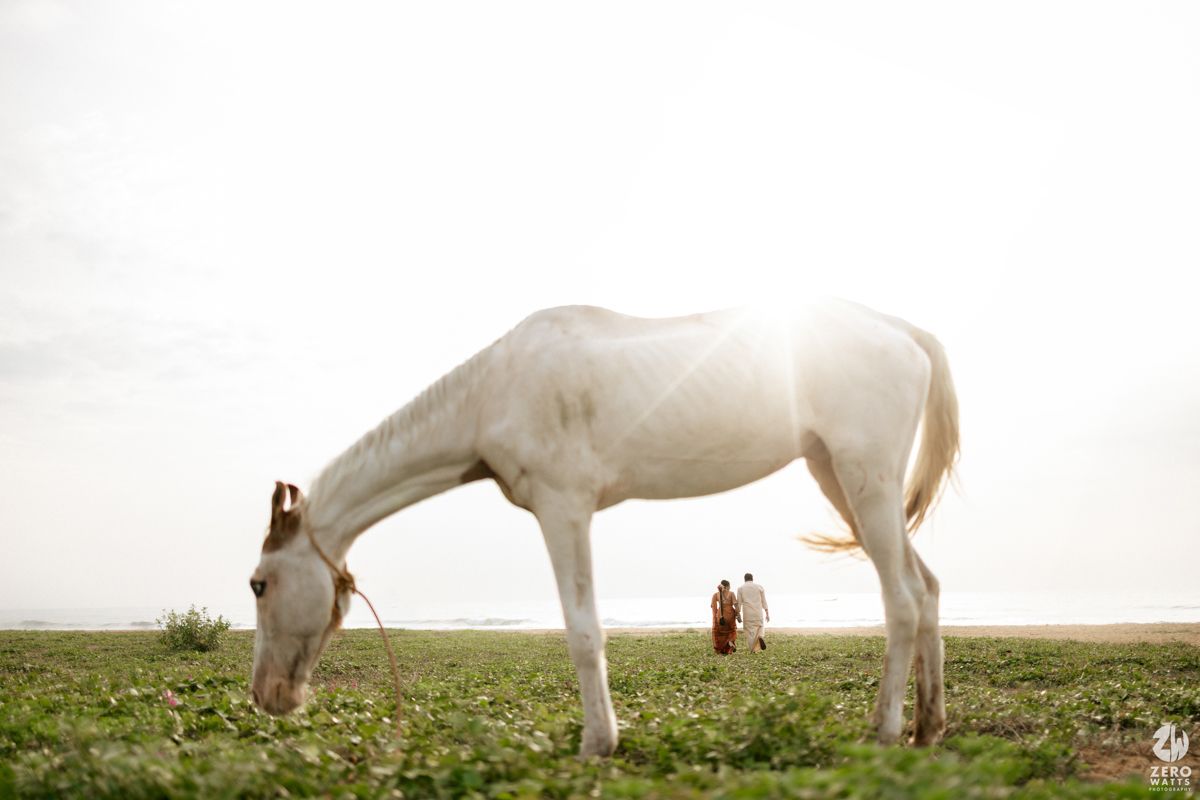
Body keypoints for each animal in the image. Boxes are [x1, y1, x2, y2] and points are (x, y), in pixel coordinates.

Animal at [249, 300, 959, 755]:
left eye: (258, 583)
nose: (266, 695)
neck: (489, 394)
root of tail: (905, 330)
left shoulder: (563, 507)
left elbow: (583, 631)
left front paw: (598, 743)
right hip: (838, 475)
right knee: (926, 587)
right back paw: (927, 727)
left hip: (862, 476)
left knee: (901, 598)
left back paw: (884, 732)